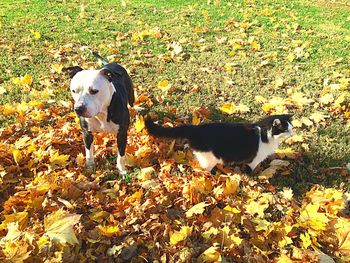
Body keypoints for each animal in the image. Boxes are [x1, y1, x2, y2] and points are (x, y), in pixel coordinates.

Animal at [145, 115, 292, 173]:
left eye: (292, 128)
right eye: (286, 130)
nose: (292, 133)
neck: (265, 133)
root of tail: (196, 129)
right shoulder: (254, 160)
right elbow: (252, 169)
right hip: (210, 158)